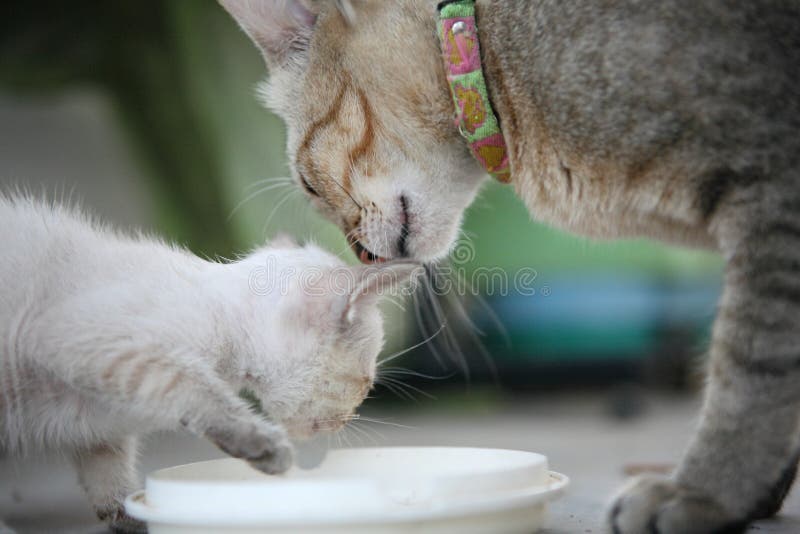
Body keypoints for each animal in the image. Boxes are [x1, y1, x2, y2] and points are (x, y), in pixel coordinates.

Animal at [1, 196, 418, 532]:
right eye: (365, 383)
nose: (349, 418)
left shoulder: (101, 434)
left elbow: (111, 482)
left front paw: (136, 518)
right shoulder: (94, 342)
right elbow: (195, 389)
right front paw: (267, 447)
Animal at [220, 0, 800, 532]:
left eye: (309, 185)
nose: (360, 253)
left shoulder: (772, 199)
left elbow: (749, 368)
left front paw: (705, 491)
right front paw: (750, 496)